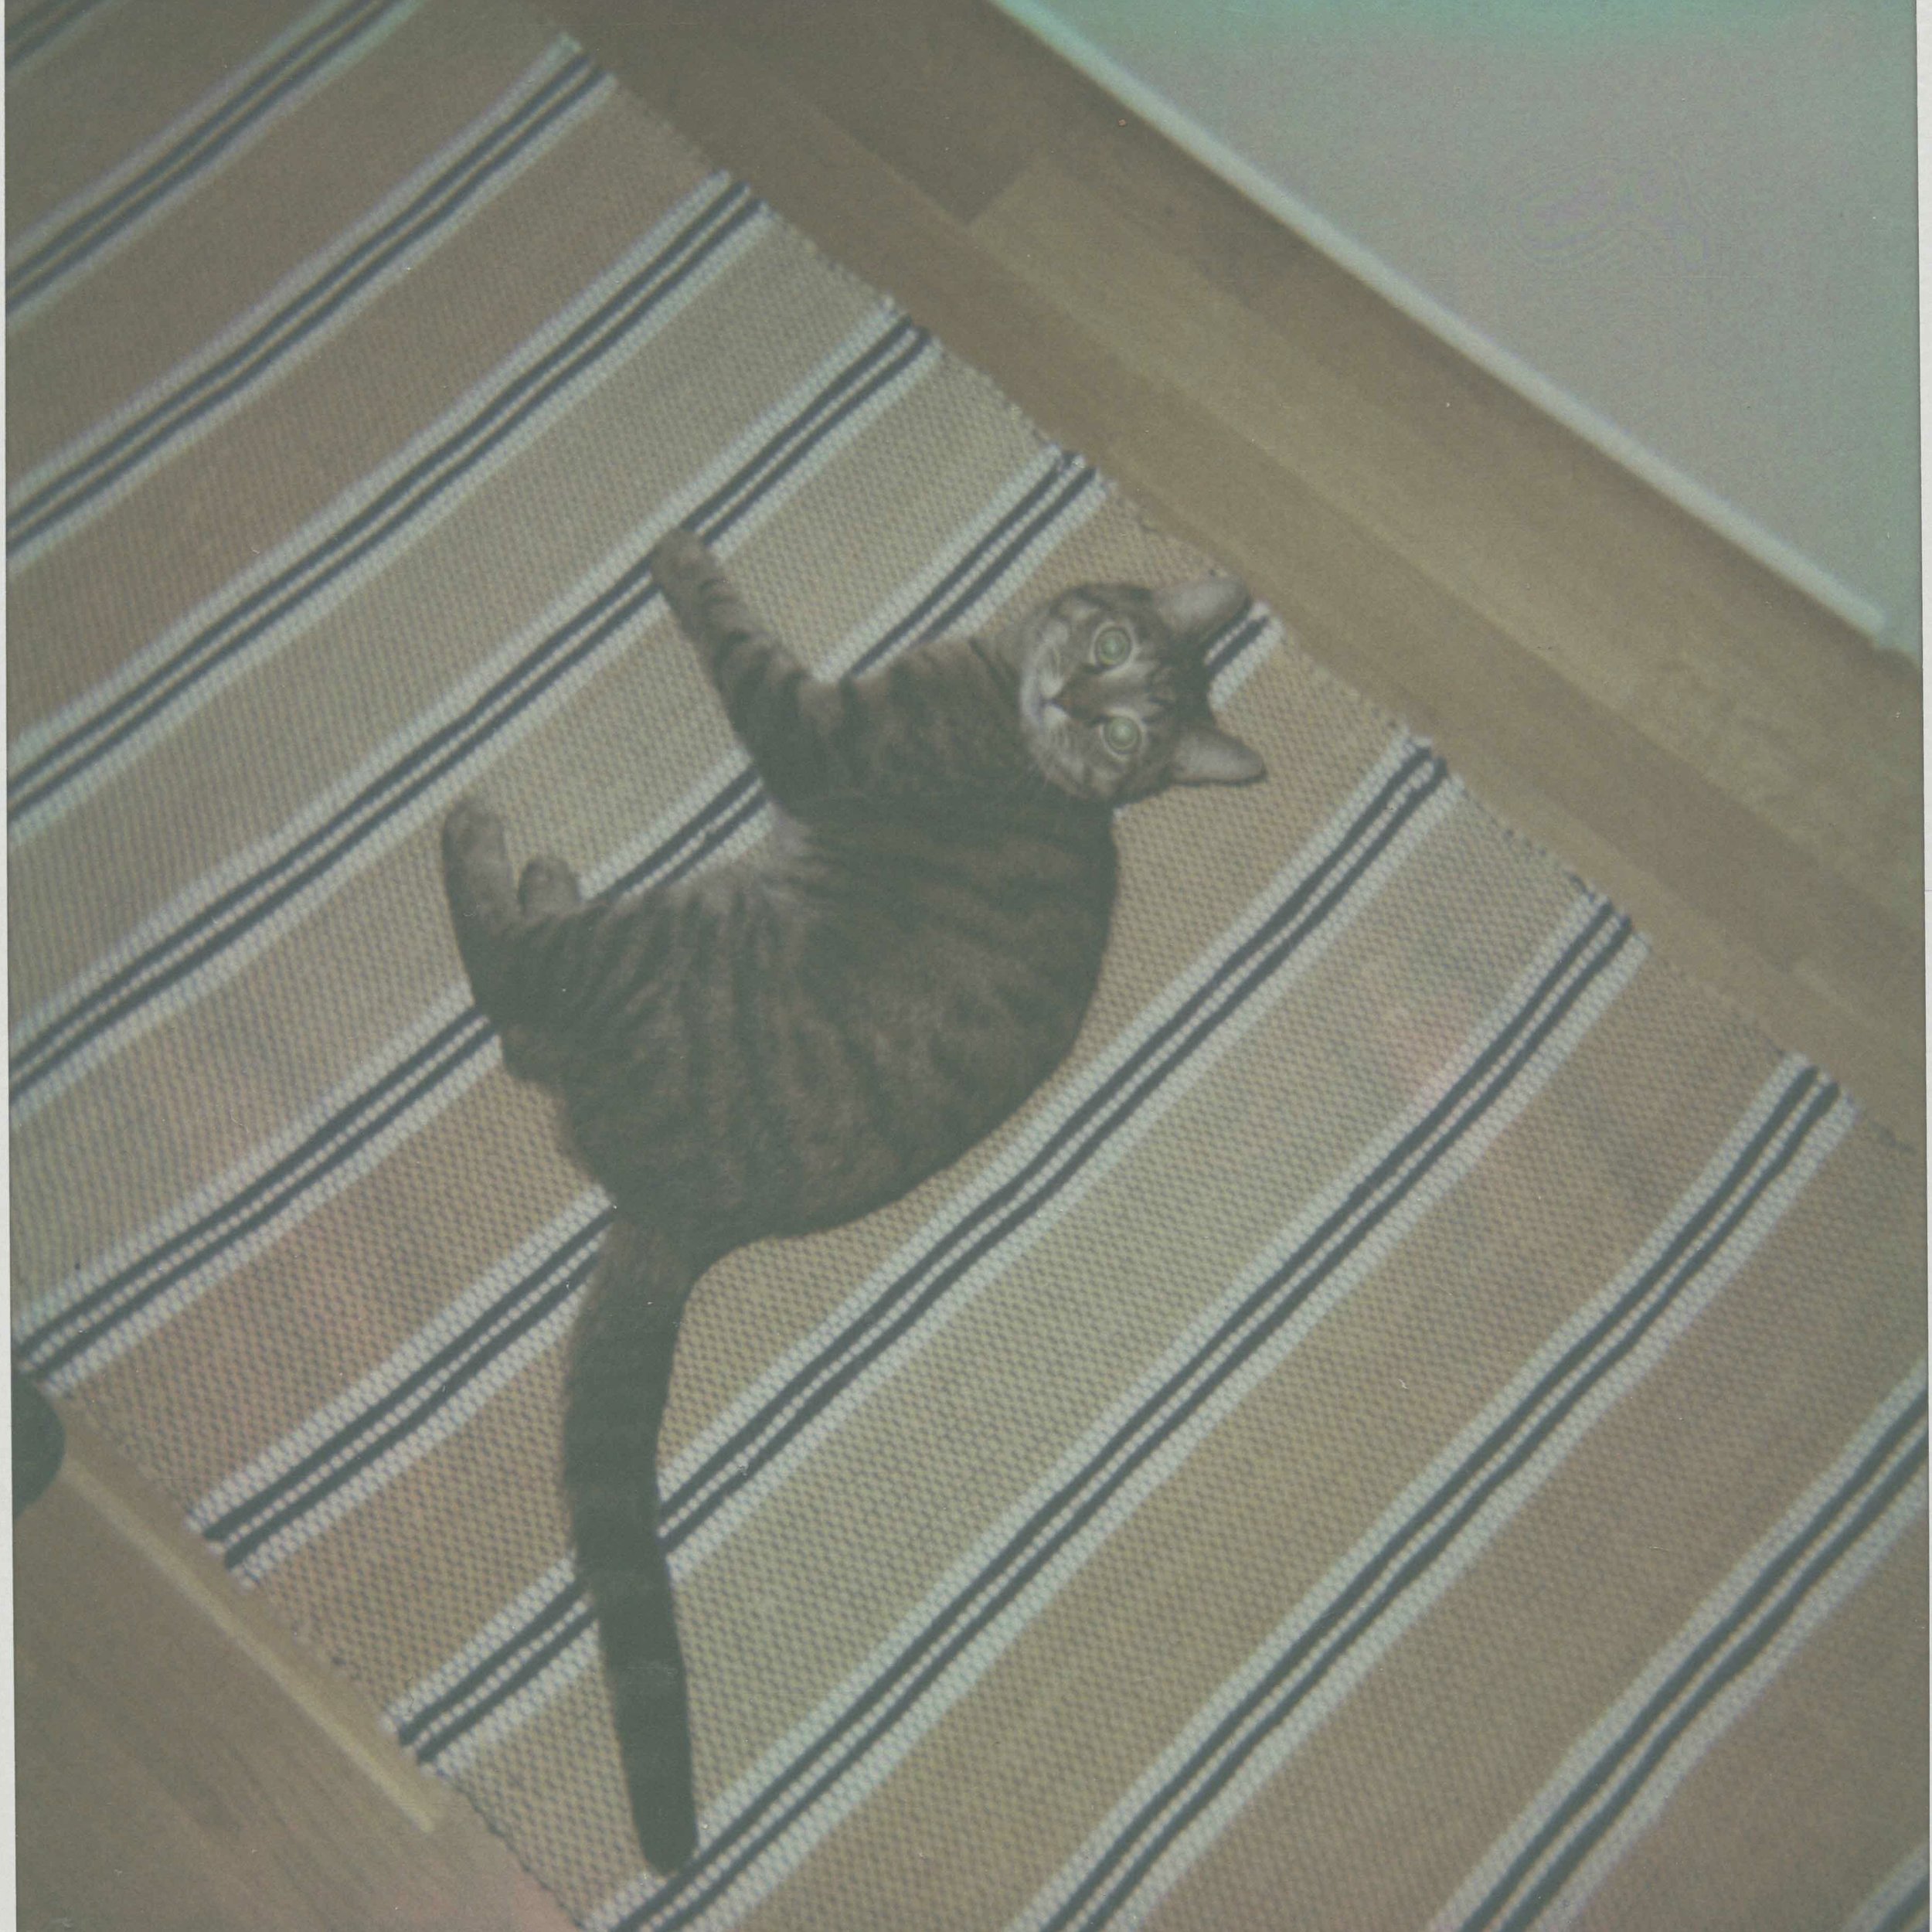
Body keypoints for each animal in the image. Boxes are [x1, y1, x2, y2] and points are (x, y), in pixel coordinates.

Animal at [440, 526, 1264, 1874]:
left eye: (1121, 731)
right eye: (1108, 651)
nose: (1073, 702)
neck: (1010, 708)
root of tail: (685, 1209)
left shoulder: (818, 730)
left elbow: (736, 637)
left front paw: (684, 558)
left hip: (646, 945)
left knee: (510, 983)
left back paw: (490, 849)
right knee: (520, 1036)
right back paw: (547, 874)